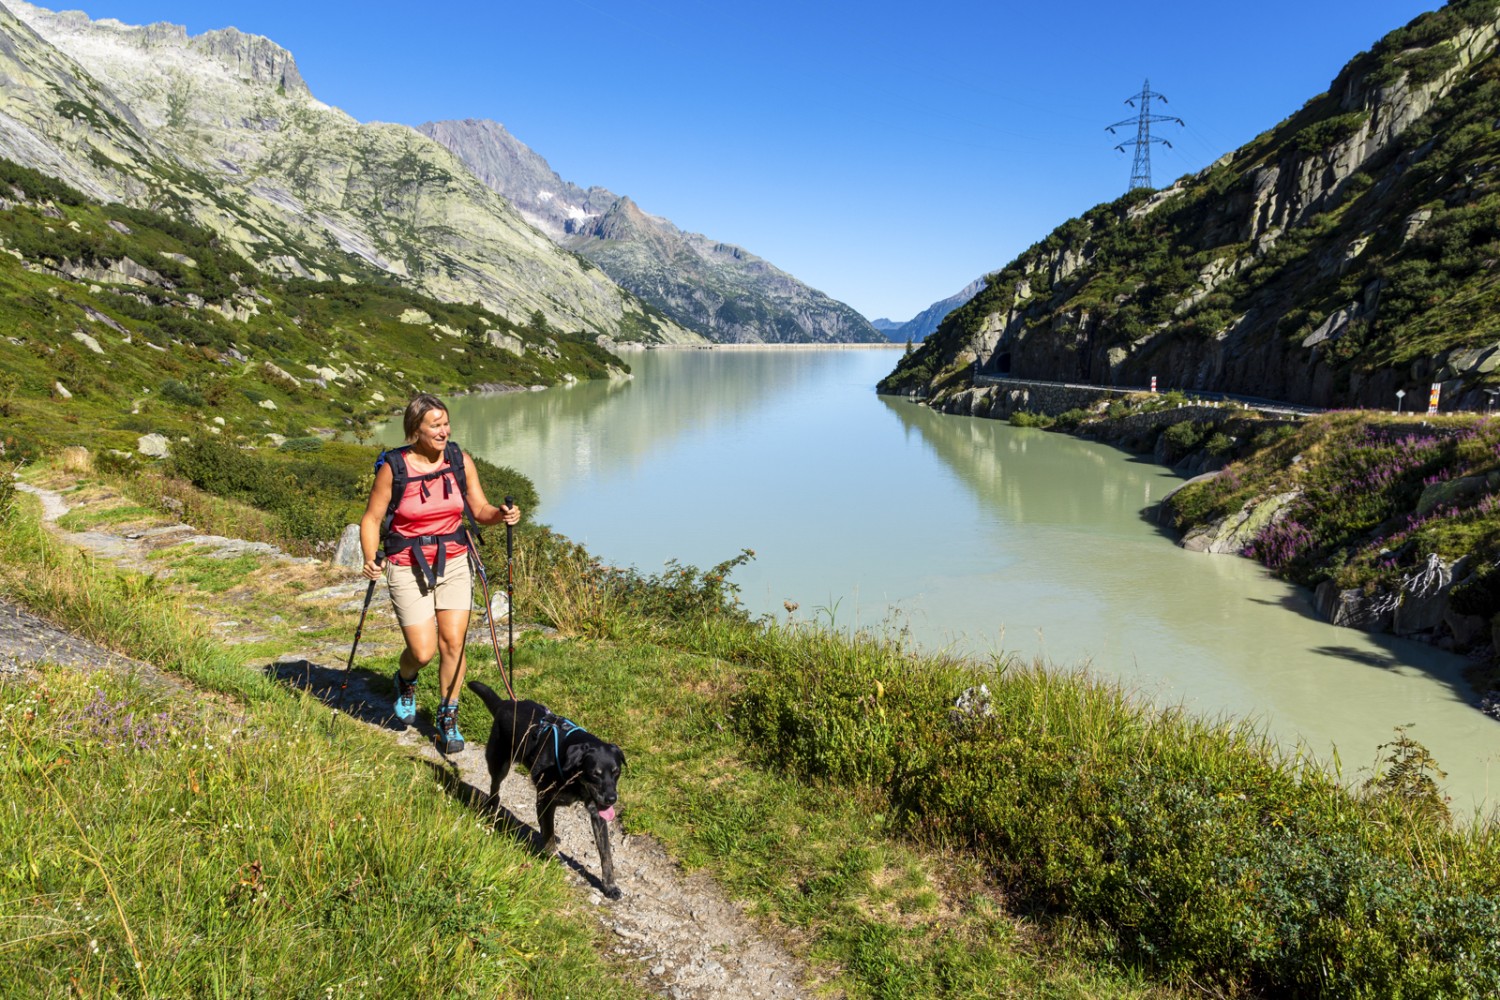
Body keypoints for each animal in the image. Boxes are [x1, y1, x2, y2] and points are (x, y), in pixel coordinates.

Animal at [471, 680, 630, 899]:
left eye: (616, 772)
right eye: (595, 774)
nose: (611, 798)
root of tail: (506, 704)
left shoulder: (596, 810)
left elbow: (606, 853)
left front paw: (609, 885)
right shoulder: (545, 799)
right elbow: (548, 834)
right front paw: (553, 857)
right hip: (499, 762)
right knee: (495, 788)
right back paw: (492, 810)